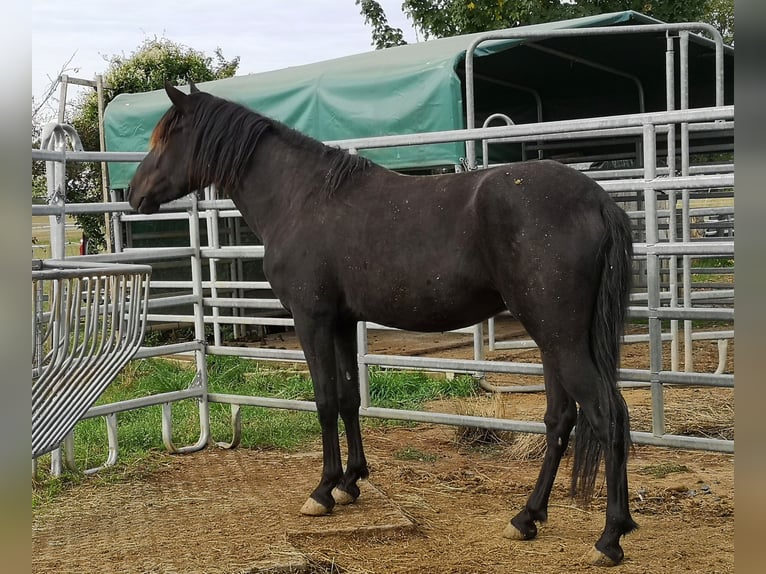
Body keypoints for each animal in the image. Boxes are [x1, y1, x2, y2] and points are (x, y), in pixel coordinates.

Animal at [128, 82, 637, 566]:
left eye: (168, 135)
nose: (135, 194)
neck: (301, 197)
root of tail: (596, 200)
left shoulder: (312, 321)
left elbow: (325, 400)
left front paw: (322, 491)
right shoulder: (341, 322)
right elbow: (350, 398)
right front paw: (351, 483)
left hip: (561, 338)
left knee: (606, 414)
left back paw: (609, 538)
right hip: (553, 338)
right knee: (560, 419)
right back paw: (527, 517)